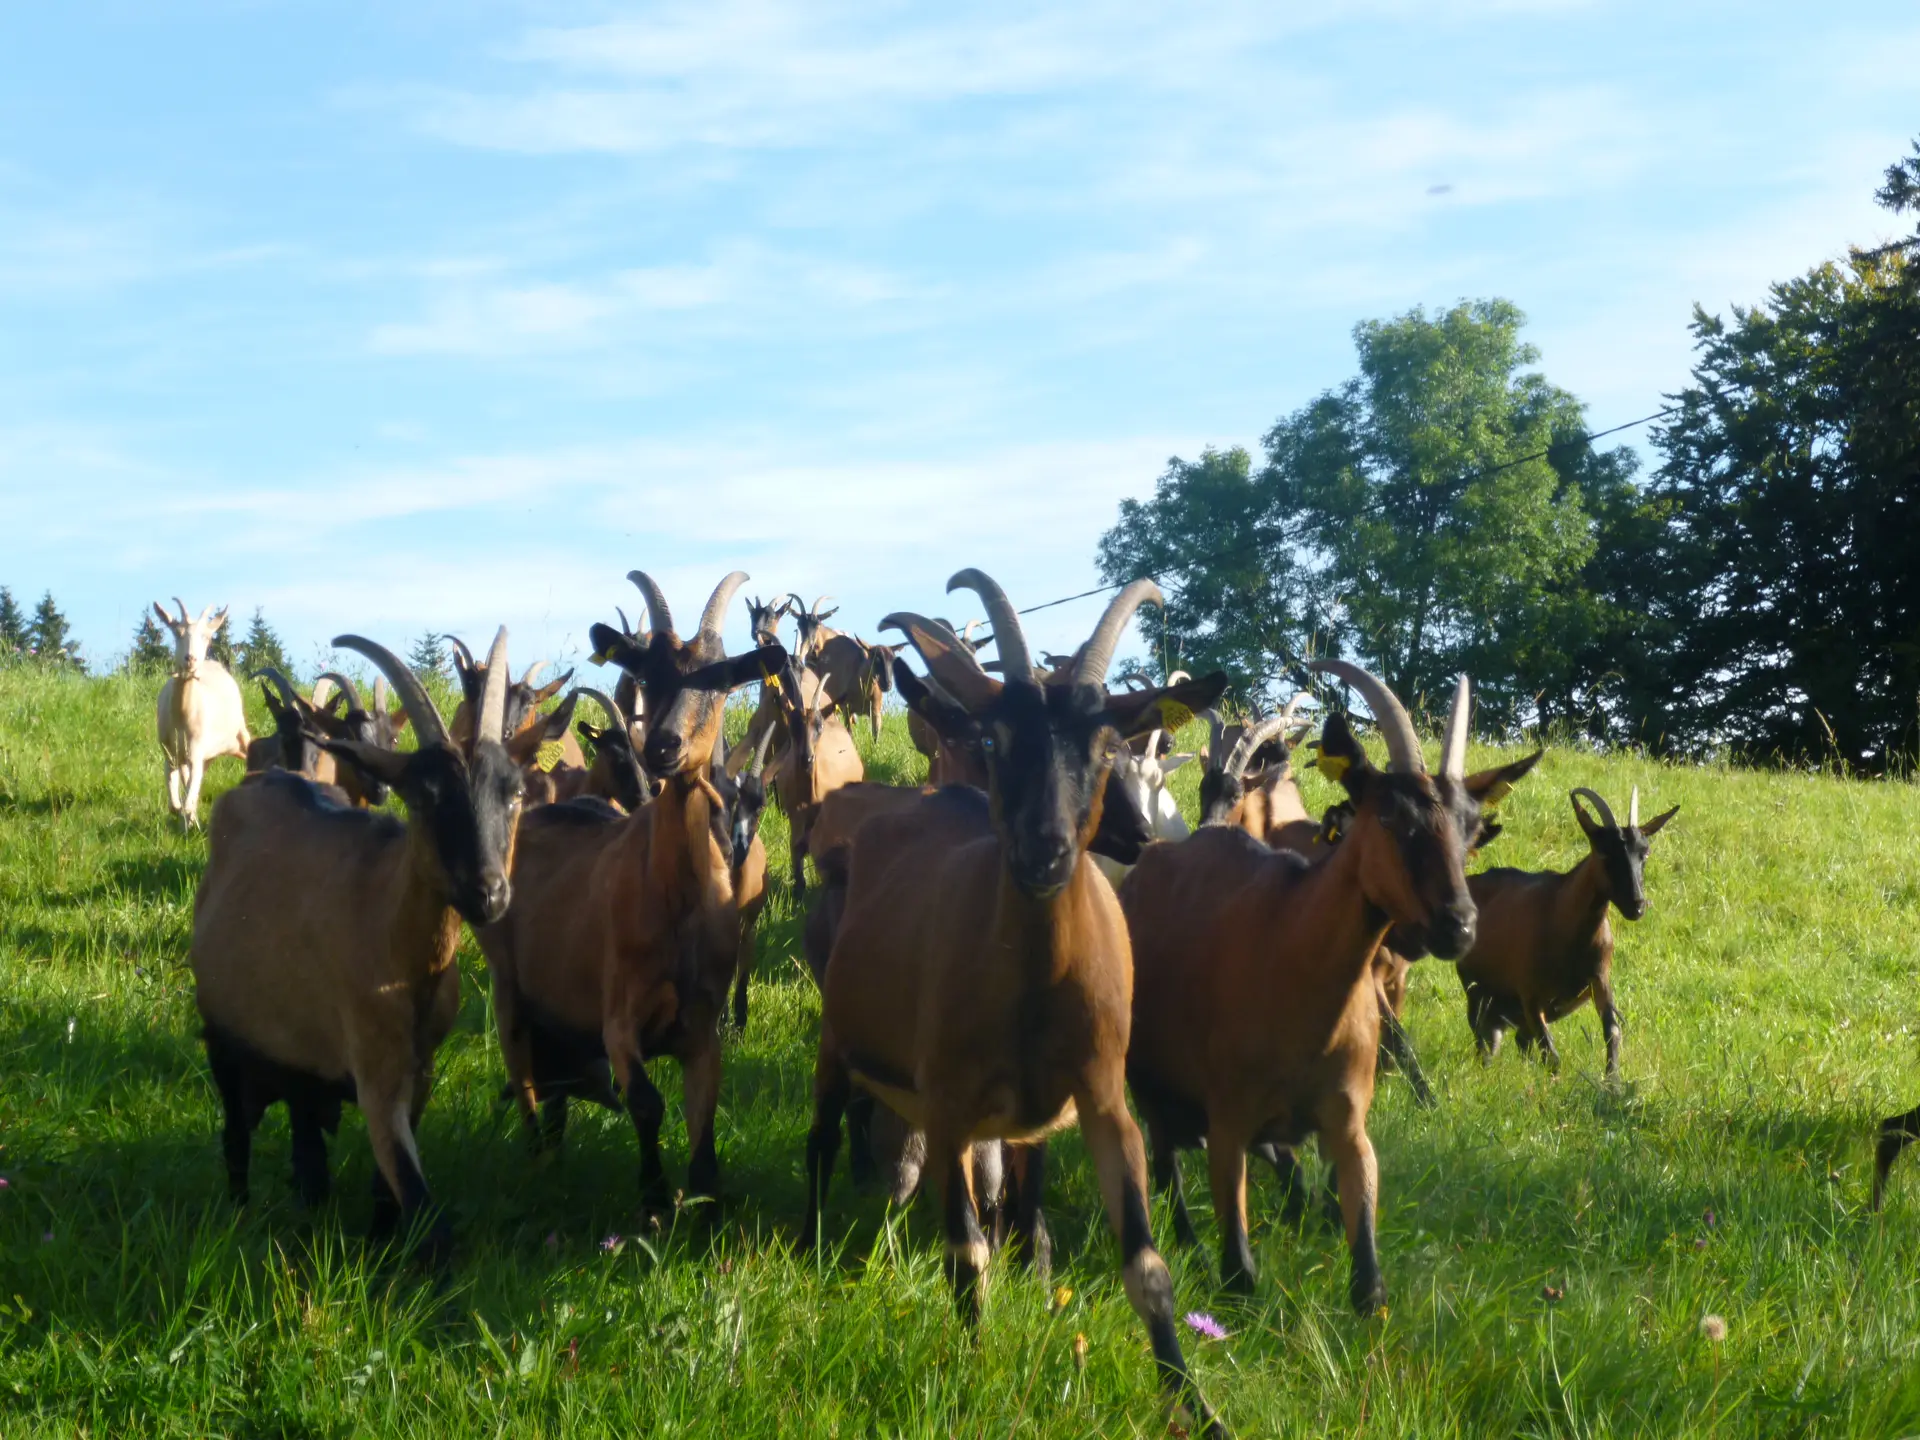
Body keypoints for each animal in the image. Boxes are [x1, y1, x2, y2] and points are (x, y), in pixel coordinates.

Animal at [153, 599, 249, 833]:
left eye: (207, 636)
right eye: (177, 633)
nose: (190, 659)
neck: (182, 716)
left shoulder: (196, 749)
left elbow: (188, 798)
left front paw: (189, 820)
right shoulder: (169, 751)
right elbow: (176, 801)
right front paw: (184, 818)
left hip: (237, 732)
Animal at [798, 568, 1221, 1436]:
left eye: (1104, 747)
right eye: (994, 741)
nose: (1044, 851)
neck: (1032, 992)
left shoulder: (1102, 1098)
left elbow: (1147, 1266)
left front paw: (1195, 1404)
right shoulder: (951, 1102)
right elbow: (966, 1255)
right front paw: (973, 1368)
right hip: (839, 1041)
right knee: (823, 1135)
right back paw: (809, 1242)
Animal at [1459, 791, 1674, 1082]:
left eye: (1645, 853)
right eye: (1604, 852)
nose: (1636, 905)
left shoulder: (1599, 980)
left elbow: (1612, 1031)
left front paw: (1613, 1083)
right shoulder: (1530, 995)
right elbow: (1551, 1053)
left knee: (1515, 1040)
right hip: (1478, 991)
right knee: (1485, 1037)